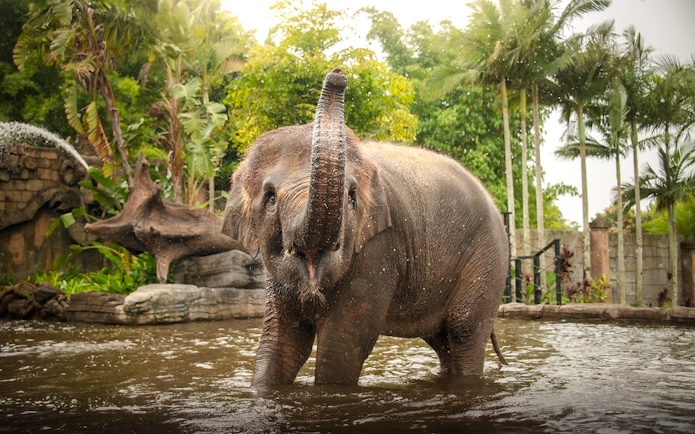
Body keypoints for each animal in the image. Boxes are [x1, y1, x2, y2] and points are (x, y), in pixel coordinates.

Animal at [222, 68, 509, 388]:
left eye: (351, 196)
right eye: (270, 197)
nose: (337, 73)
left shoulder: (379, 248)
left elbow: (342, 343)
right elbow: (282, 341)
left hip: (488, 258)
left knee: (463, 330)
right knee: (442, 340)